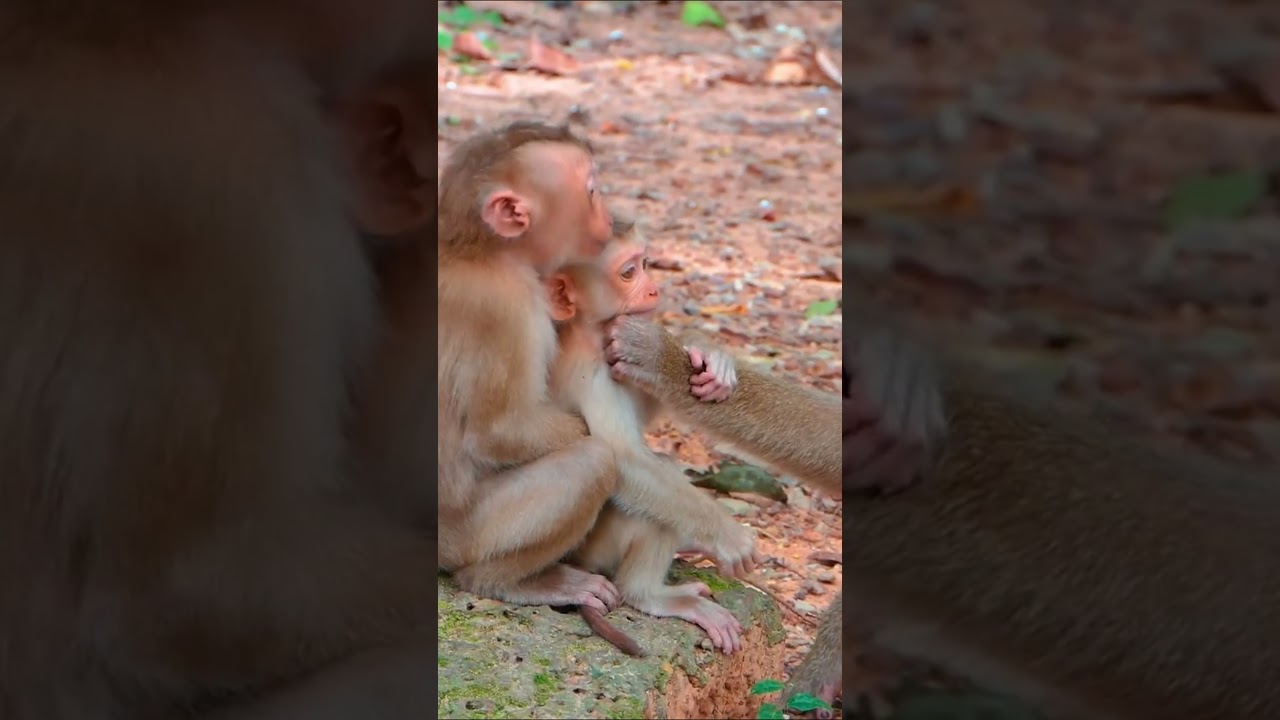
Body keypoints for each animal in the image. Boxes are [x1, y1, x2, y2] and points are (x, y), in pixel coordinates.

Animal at [545, 218, 758, 656]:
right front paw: (729, 537)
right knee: (652, 486)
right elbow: (625, 461)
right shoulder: (590, 372)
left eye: (646, 264)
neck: (586, 330)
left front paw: (709, 356)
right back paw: (648, 594)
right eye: (629, 272)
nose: (654, 289)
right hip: (598, 548)